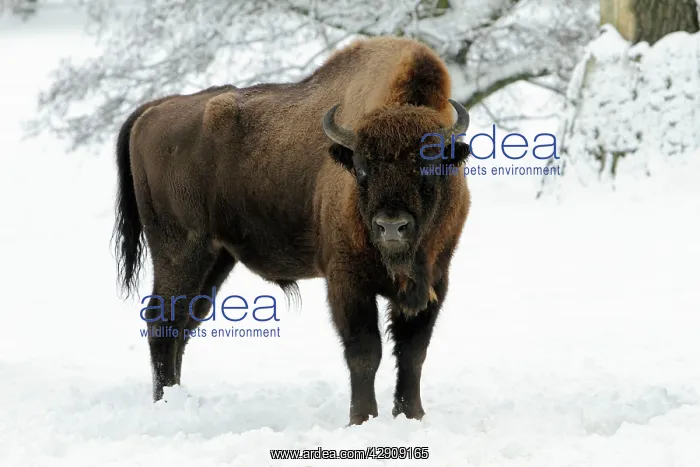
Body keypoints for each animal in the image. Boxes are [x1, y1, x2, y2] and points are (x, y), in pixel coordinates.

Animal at [113, 36, 471, 426]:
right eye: (362, 168)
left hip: (216, 259)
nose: (391, 225)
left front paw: (412, 415)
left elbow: (413, 351)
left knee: (183, 322)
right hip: (180, 252)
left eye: (430, 166)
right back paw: (165, 403)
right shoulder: (347, 281)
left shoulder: (435, 280)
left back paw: (179, 398)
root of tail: (154, 109)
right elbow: (365, 352)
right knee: (162, 320)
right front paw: (362, 419)